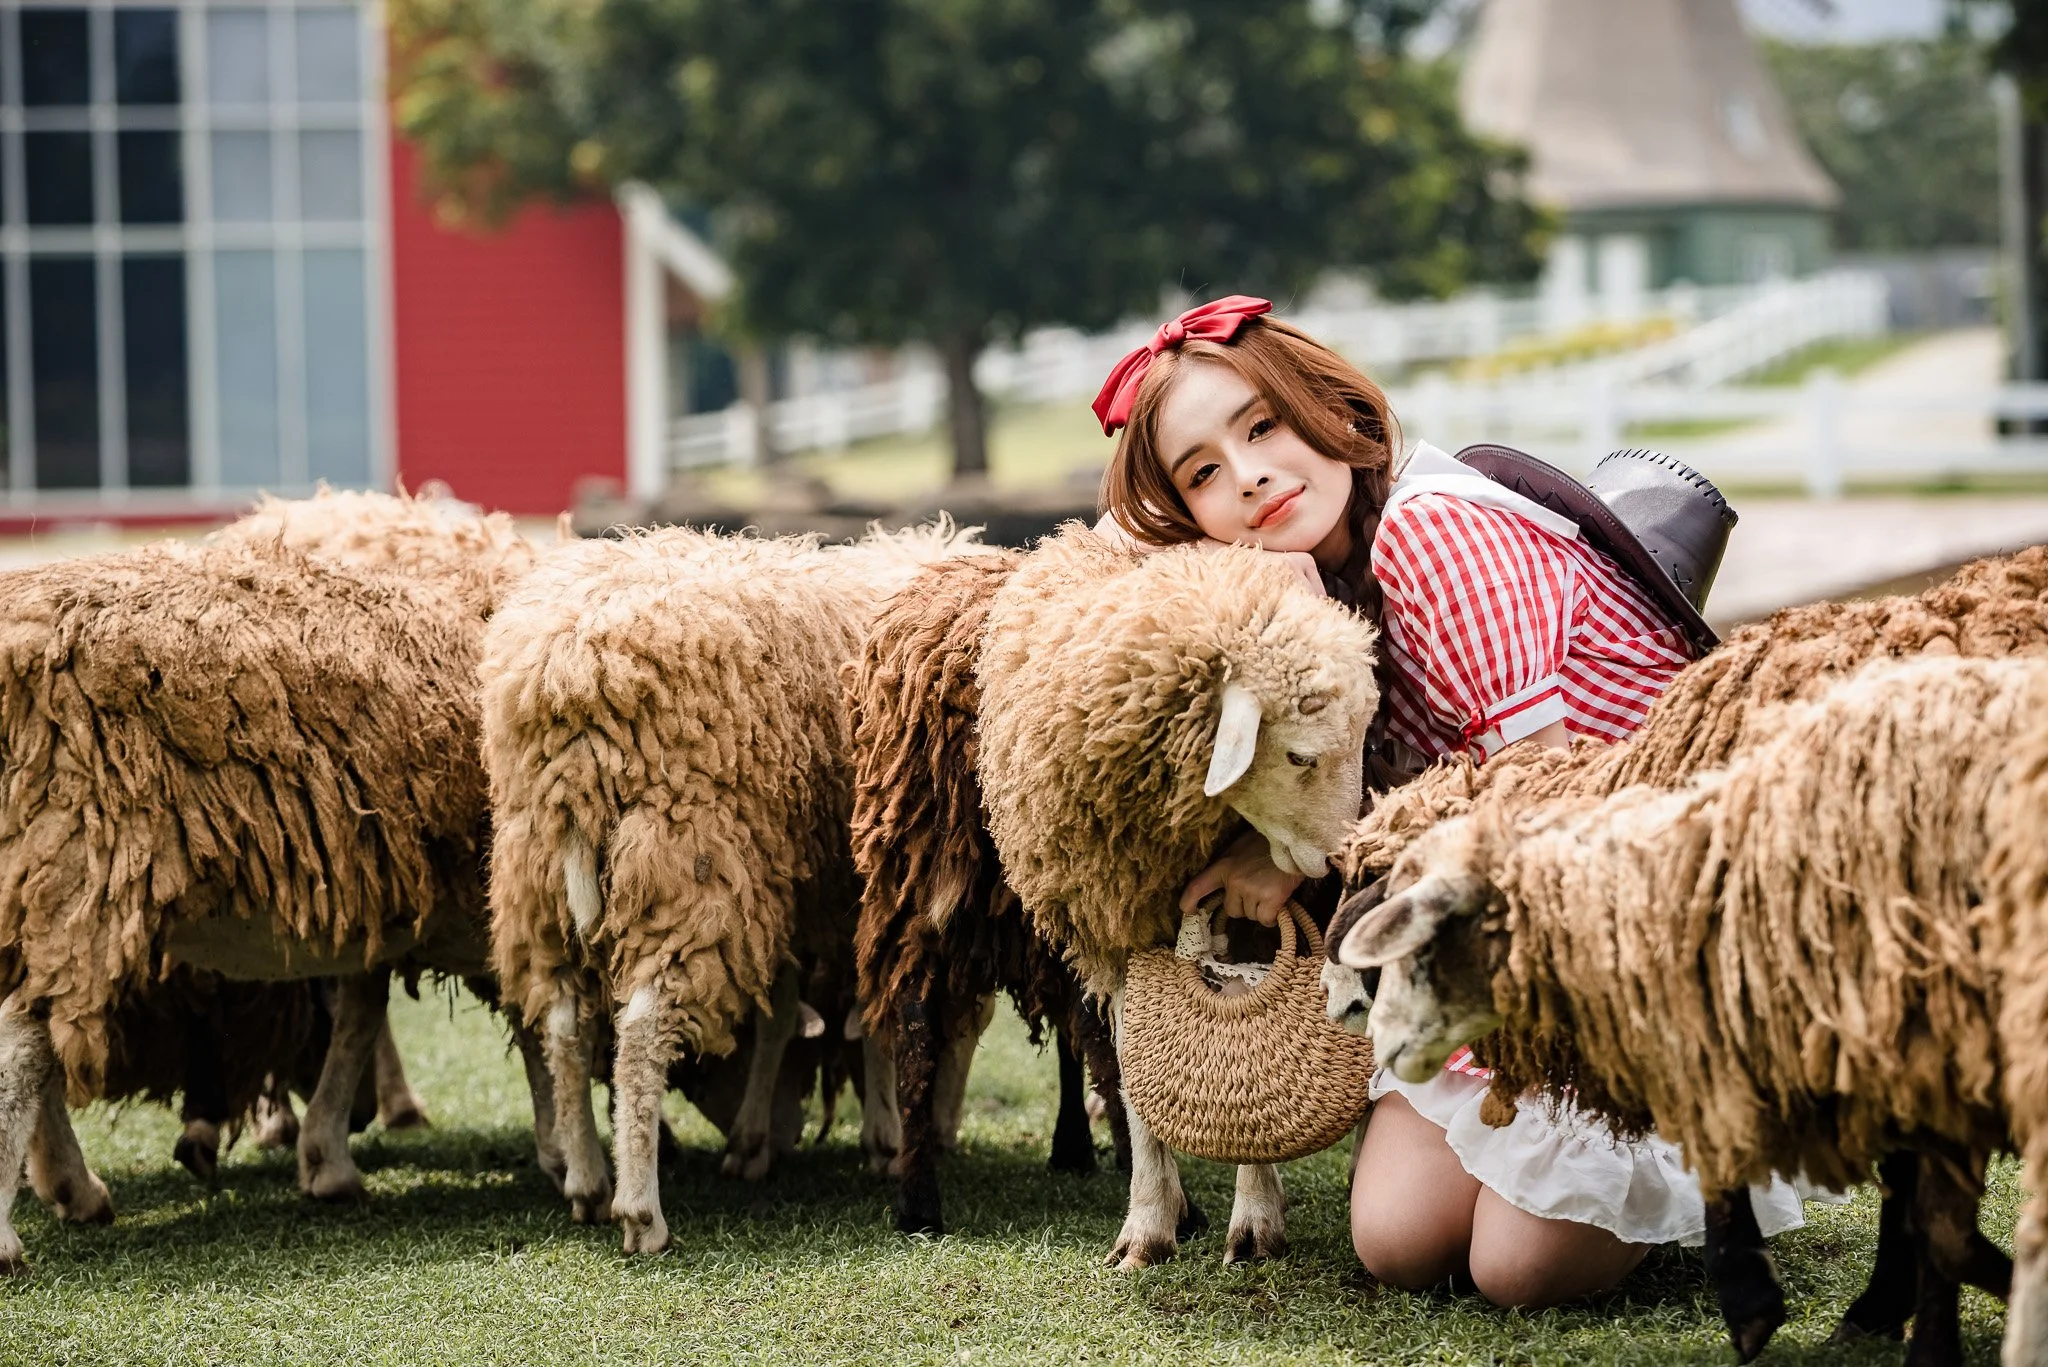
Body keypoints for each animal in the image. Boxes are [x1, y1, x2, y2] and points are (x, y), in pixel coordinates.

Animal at [481, 522, 975, 1255]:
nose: (943, 1136)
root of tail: (574, 673)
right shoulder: (862, 896)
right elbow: (870, 1015)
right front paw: (885, 1138)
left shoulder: (798, 891)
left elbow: (784, 1014)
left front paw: (754, 1140)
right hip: (689, 860)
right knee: (641, 1031)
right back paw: (641, 1212)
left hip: (538, 874)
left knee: (566, 1024)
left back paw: (588, 1182)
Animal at [849, 549, 1130, 1238]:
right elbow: (1082, 1032)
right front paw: (1076, 1146)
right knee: (1097, 1035)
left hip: (913, 869)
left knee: (914, 1026)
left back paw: (918, 1202)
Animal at [974, 525, 1381, 1268]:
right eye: (1300, 755)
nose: (1344, 859)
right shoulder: (1113, 924)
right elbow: (1135, 1076)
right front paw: (1148, 1224)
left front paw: (1255, 1218)